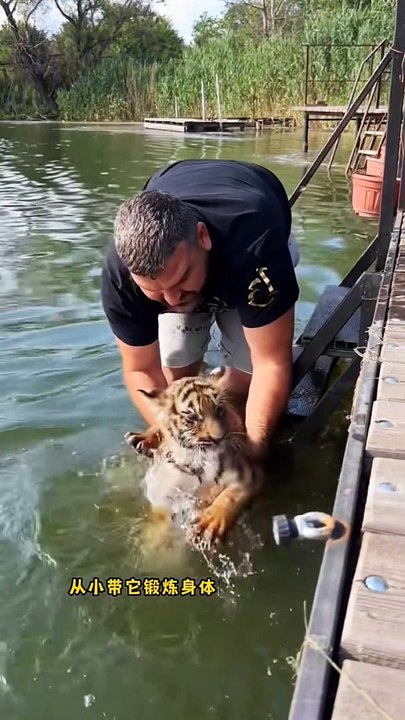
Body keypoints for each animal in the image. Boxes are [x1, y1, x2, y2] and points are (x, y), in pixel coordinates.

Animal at [124, 368, 264, 546]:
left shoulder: (250, 474)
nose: (219, 438)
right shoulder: (167, 493)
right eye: (192, 418)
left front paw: (209, 524)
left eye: (219, 410)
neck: (196, 459)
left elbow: (230, 496)